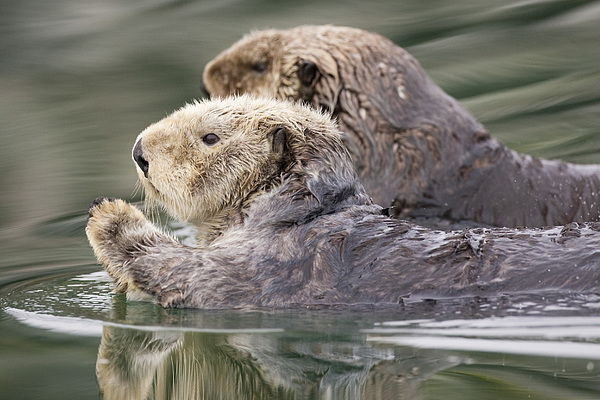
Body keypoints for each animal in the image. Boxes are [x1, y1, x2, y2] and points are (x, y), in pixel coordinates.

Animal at [84, 96, 600, 310]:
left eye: (210, 137)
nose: (139, 151)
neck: (297, 209)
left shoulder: (273, 262)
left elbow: (198, 276)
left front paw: (109, 217)